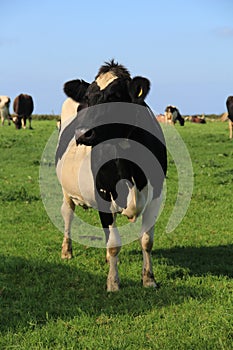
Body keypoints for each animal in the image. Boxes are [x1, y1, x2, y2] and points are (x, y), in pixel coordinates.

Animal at [55, 60, 167, 292]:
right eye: (87, 99)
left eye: (115, 96)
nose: (82, 134)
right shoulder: (103, 196)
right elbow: (114, 243)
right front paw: (113, 283)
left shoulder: (157, 196)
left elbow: (146, 240)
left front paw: (149, 279)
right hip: (66, 190)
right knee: (67, 214)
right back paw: (67, 251)